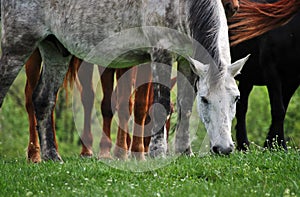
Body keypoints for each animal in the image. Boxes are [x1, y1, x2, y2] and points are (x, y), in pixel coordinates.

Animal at [1, 0, 247, 161]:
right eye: (205, 100)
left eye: (236, 98)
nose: (224, 148)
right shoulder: (161, 53)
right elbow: (161, 103)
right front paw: (157, 153)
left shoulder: (187, 61)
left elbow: (184, 106)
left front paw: (185, 151)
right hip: (16, 45)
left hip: (54, 49)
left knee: (43, 100)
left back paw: (52, 156)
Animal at [229, 0, 300, 150]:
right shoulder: (271, 71)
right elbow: (278, 109)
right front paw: (278, 145)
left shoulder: (293, 78)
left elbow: (283, 109)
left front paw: (272, 144)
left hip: (247, 77)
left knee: (241, 108)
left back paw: (243, 146)